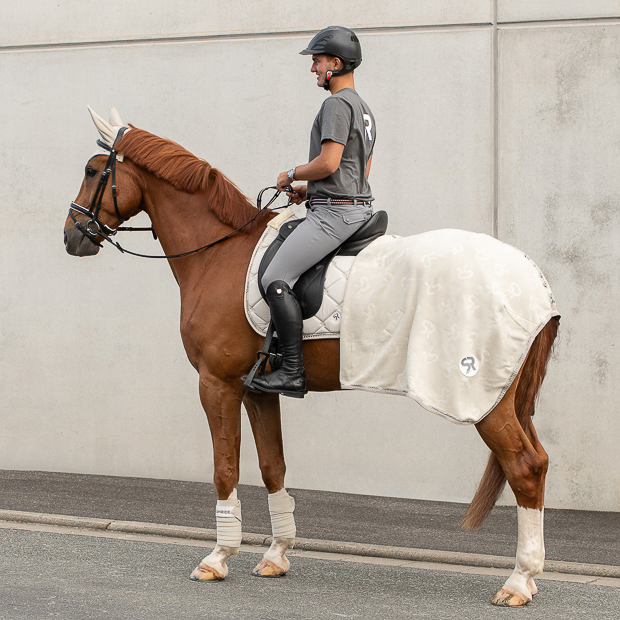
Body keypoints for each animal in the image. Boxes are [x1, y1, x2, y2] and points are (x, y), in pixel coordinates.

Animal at [65, 106, 560, 604]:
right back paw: (528, 576)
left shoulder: (216, 383)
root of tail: (531, 277)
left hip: (486, 399)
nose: (72, 236)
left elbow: (225, 469)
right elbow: (272, 466)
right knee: (537, 461)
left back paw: (518, 581)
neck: (220, 253)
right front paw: (276, 555)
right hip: (508, 395)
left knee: (525, 467)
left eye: (91, 170)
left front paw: (217, 559)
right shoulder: (256, 390)